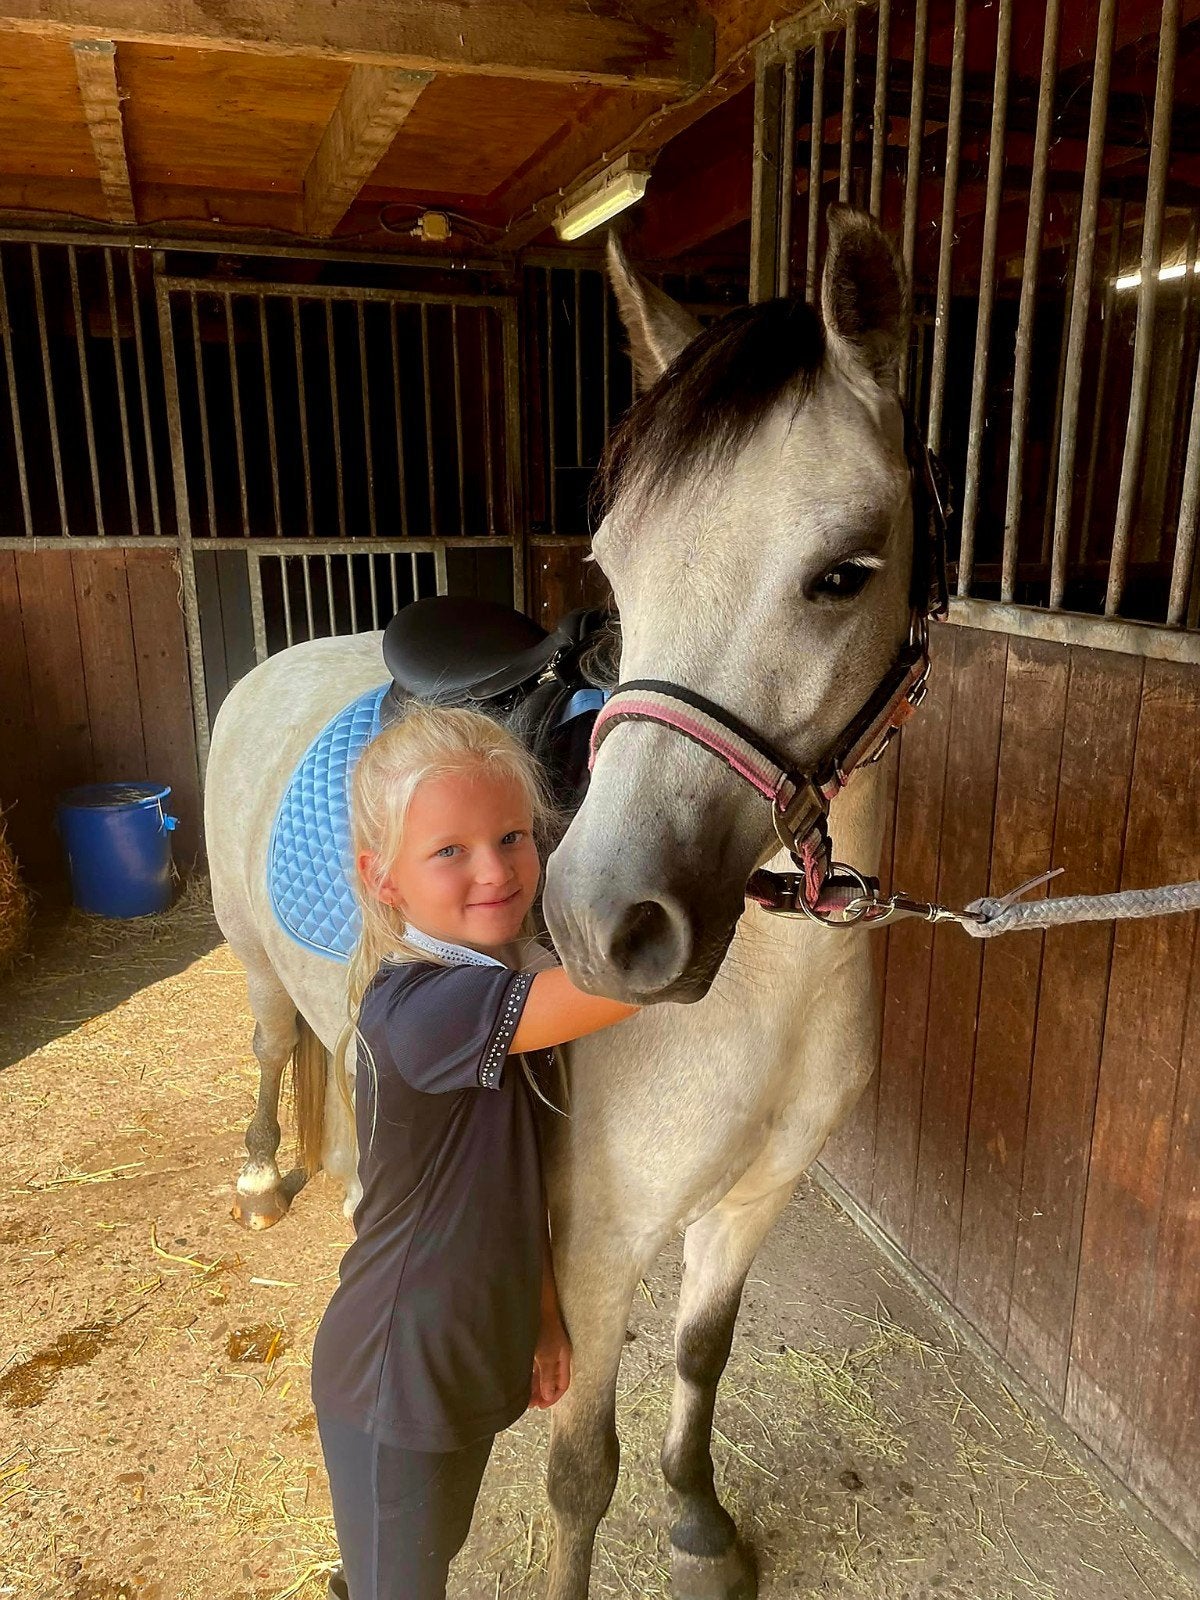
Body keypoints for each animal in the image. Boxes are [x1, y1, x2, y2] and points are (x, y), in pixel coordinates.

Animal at [204, 204, 923, 1600]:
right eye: (617, 569)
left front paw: (701, 1520)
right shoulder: (594, 1251)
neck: (768, 993)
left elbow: (703, 1358)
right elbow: (580, 1469)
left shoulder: (749, 1206)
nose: (601, 926)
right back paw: (264, 1173)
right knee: (268, 1047)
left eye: (842, 573)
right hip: (252, 962)